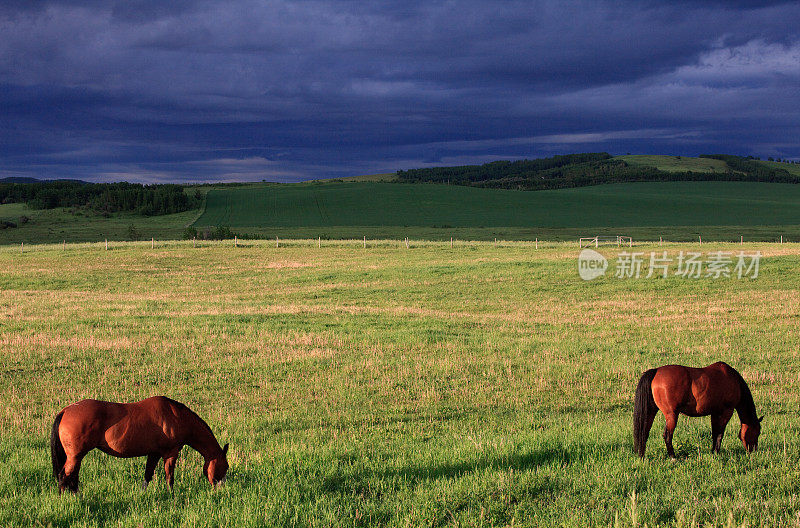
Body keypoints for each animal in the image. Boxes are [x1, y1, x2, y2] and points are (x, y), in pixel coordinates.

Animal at [51, 396, 228, 496]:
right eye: (225, 467)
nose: (221, 490)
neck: (177, 416)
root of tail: (66, 411)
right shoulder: (171, 453)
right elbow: (169, 476)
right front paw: (171, 495)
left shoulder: (154, 453)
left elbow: (148, 475)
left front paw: (142, 494)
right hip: (76, 455)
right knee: (64, 475)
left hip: (77, 456)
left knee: (72, 476)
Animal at [632, 364, 764, 458]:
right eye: (757, 432)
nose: (754, 451)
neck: (733, 381)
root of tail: (656, 371)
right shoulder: (726, 412)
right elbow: (720, 434)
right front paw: (716, 452)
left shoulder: (715, 413)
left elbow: (715, 433)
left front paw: (713, 452)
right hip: (671, 415)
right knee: (667, 436)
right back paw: (673, 457)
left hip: (651, 411)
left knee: (644, 432)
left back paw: (642, 456)